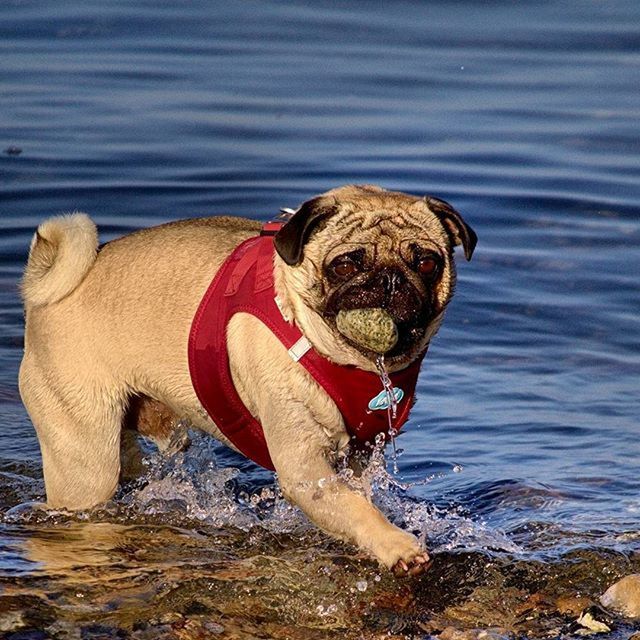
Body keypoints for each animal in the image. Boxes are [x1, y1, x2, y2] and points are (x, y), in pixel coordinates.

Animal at [18, 184, 476, 576]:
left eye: (427, 263)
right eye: (346, 263)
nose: (390, 279)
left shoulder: (359, 458)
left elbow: (359, 500)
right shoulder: (306, 469)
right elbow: (357, 509)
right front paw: (396, 544)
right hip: (85, 460)